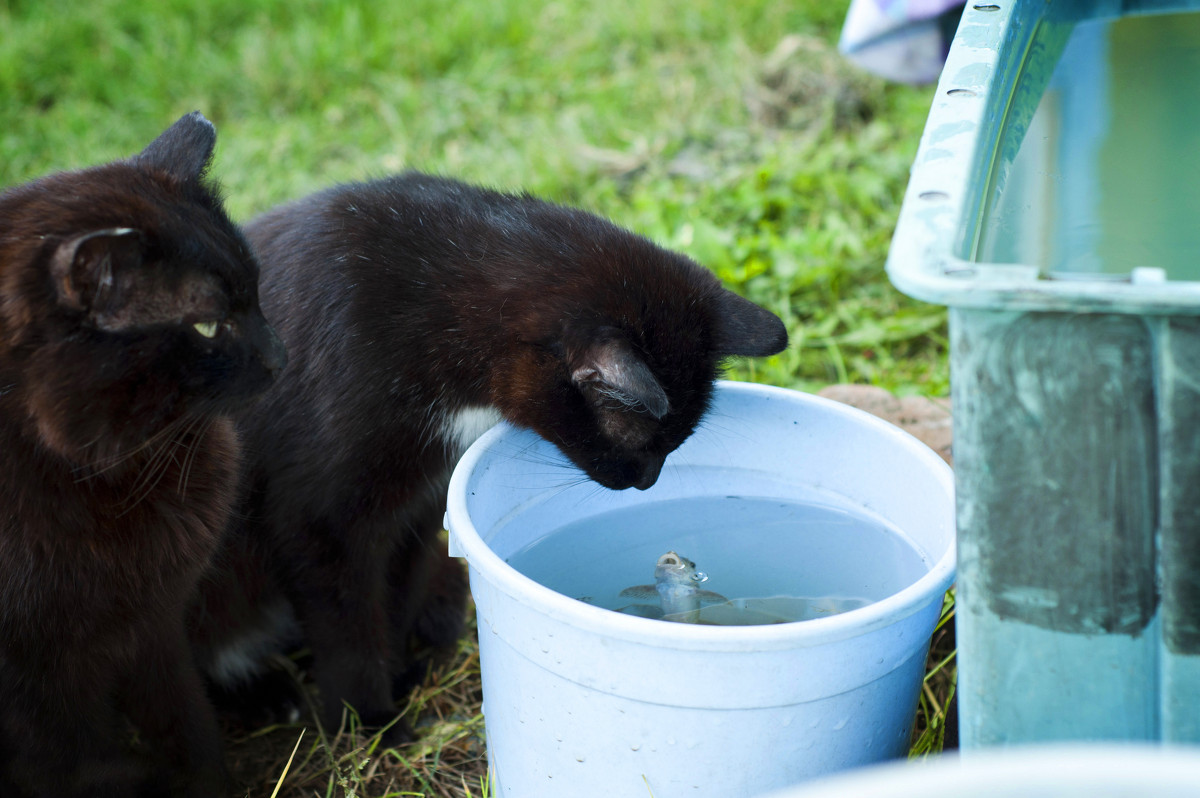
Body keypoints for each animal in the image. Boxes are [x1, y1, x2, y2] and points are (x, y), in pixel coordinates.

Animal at [0, 113, 288, 796]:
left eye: (256, 292)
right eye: (208, 326)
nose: (280, 354)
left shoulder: (152, 628)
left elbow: (187, 722)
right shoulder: (37, 691)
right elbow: (68, 764)